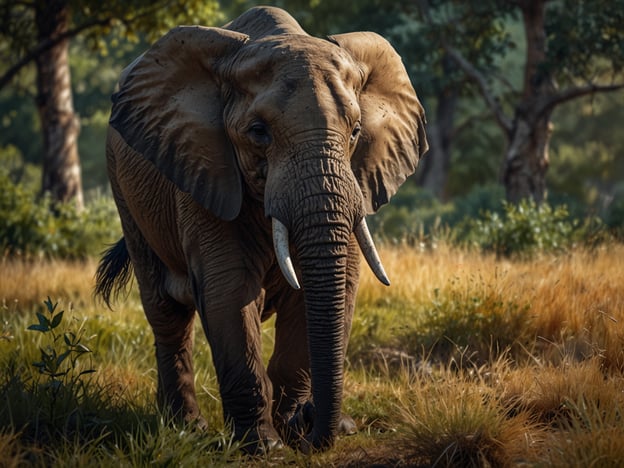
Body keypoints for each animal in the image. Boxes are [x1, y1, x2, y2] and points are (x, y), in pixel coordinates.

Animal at [95, 6, 426, 454]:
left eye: (356, 132)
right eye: (258, 132)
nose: (313, 419)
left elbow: (333, 285)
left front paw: (293, 427)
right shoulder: (205, 166)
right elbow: (229, 289)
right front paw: (263, 446)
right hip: (124, 187)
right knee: (166, 311)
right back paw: (185, 427)